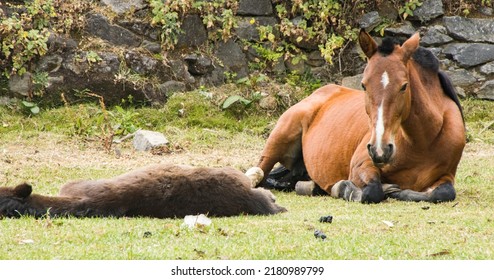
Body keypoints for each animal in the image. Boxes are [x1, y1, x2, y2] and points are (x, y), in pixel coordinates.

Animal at [256, 30, 466, 203]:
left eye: (404, 86)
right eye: (364, 85)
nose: (380, 150)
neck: (421, 143)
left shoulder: (447, 176)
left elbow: (443, 193)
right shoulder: (360, 166)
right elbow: (372, 191)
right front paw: (344, 188)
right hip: (277, 141)